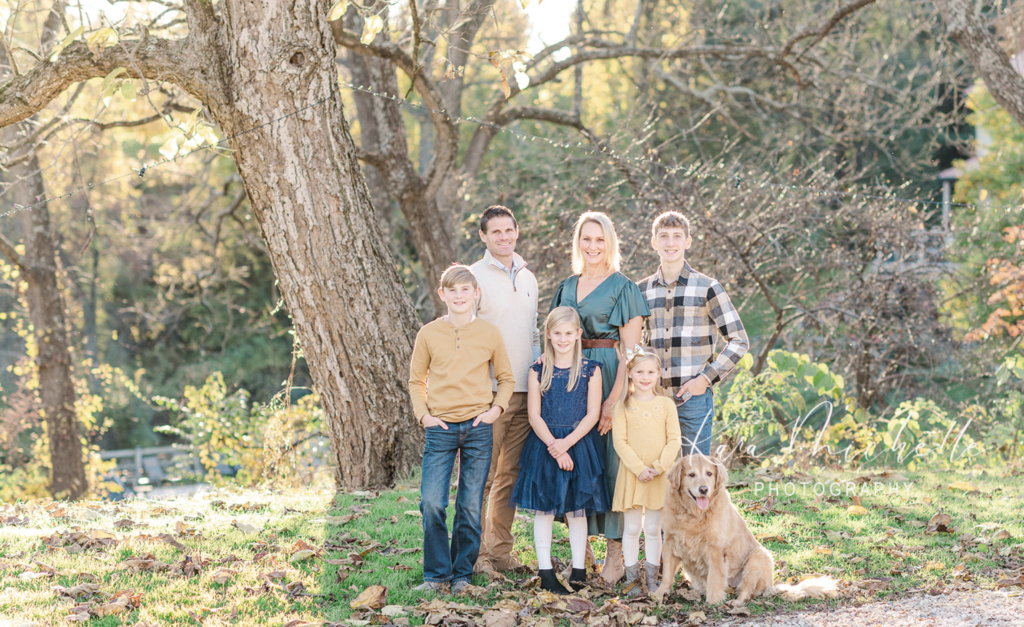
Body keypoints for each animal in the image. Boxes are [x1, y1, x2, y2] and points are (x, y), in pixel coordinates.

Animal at [651, 452, 770, 606]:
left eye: (709, 473)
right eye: (691, 474)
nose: (703, 489)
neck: (694, 514)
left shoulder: (715, 549)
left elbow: (715, 577)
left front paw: (713, 601)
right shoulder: (670, 543)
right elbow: (666, 576)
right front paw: (659, 595)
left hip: (758, 556)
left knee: (746, 590)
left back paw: (735, 603)